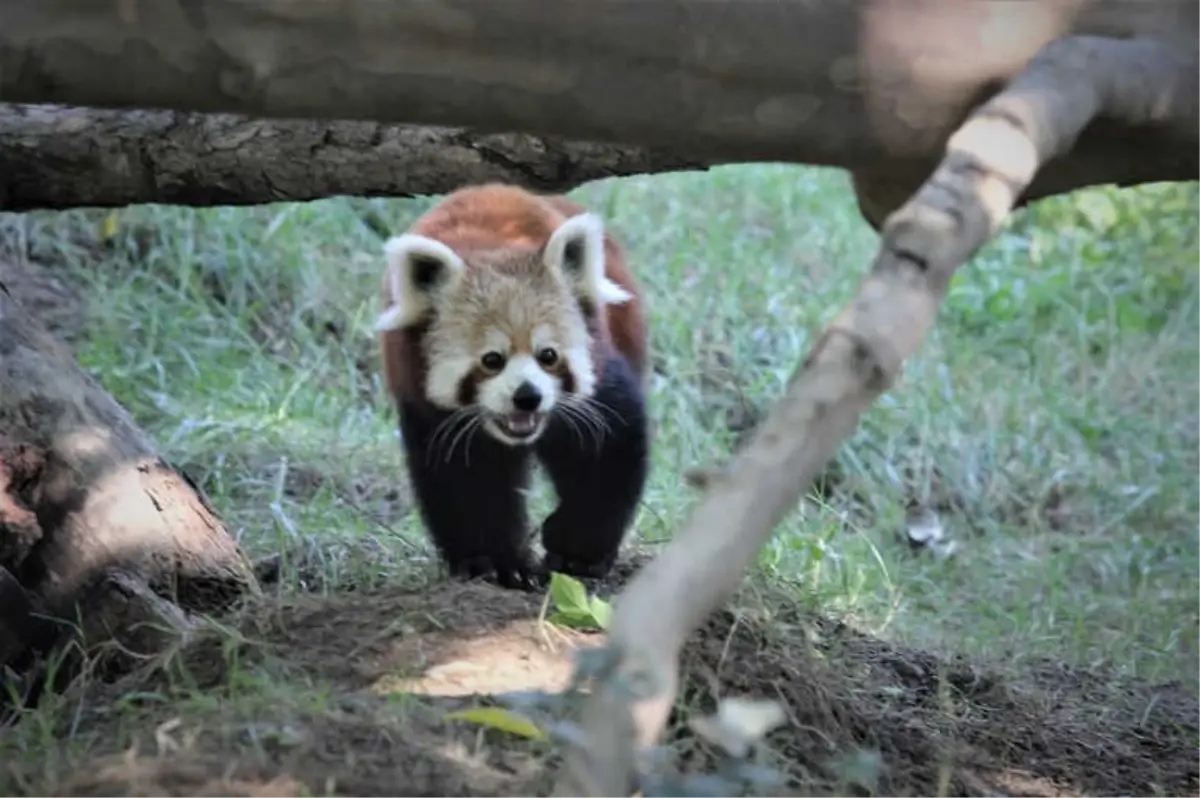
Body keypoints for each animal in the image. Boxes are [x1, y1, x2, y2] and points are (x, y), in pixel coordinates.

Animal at [376, 183, 652, 588]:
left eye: (548, 355)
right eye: (492, 360)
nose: (528, 397)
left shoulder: (600, 377)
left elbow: (607, 454)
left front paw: (576, 551)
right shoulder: (428, 408)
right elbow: (465, 483)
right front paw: (493, 562)